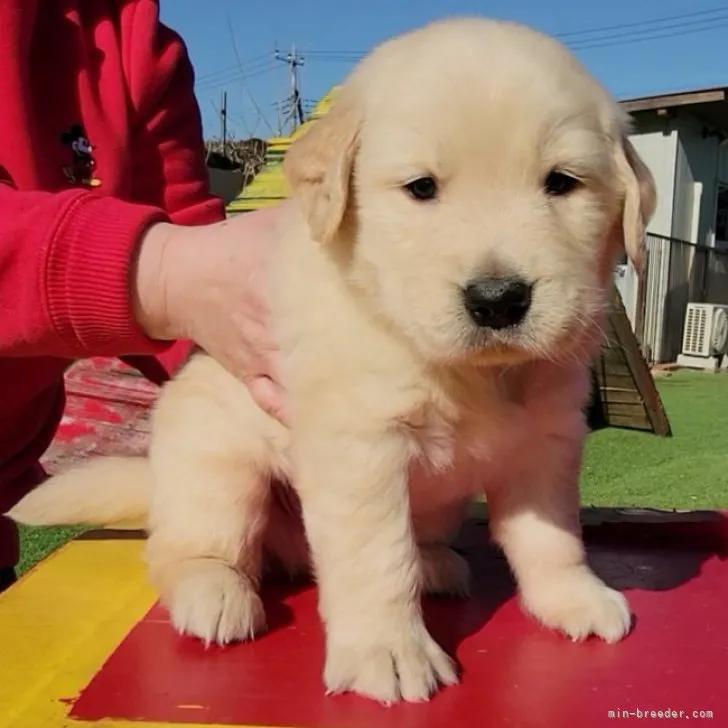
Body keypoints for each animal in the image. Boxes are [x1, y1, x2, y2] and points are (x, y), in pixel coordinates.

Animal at [7, 15, 656, 704]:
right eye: (421, 188)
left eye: (562, 182)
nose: (498, 299)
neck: (454, 367)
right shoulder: (360, 449)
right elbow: (377, 560)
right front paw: (389, 651)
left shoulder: (545, 440)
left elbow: (551, 535)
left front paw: (573, 597)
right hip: (214, 466)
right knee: (186, 547)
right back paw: (214, 592)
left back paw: (433, 563)